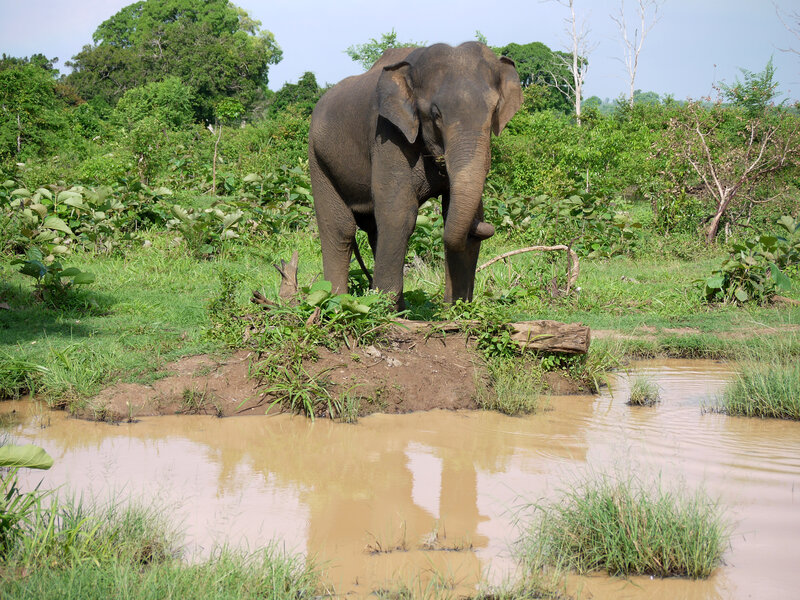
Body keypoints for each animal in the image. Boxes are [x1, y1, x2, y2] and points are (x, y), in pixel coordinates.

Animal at [308, 41, 522, 309]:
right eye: (436, 114)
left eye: (494, 111)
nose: (486, 227)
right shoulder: (387, 133)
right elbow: (399, 213)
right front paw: (384, 313)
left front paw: (458, 310)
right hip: (318, 158)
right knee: (340, 229)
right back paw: (338, 303)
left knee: (374, 230)